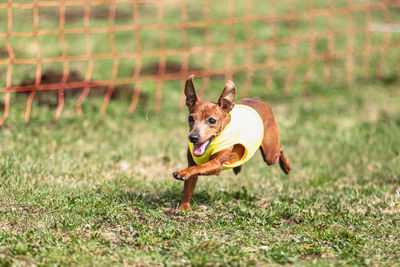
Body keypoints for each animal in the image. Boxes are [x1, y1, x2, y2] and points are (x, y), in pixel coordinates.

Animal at [173, 75, 290, 211]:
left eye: (212, 120)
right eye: (190, 118)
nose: (193, 137)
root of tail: (258, 100)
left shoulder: (216, 164)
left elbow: (198, 167)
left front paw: (182, 172)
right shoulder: (192, 163)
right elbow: (189, 183)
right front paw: (183, 207)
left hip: (270, 153)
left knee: (279, 150)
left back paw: (286, 166)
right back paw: (238, 166)